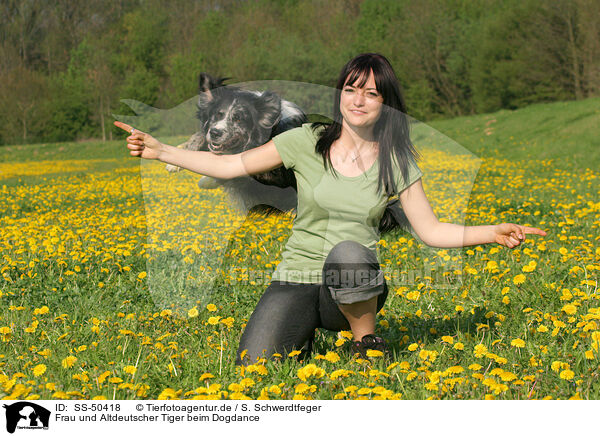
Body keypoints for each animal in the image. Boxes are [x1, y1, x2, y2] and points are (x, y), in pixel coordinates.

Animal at [166, 73, 410, 233]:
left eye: (239, 118)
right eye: (216, 115)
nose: (215, 133)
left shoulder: (275, 177)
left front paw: (207, 178)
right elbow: (202, 140)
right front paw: (178, 158)